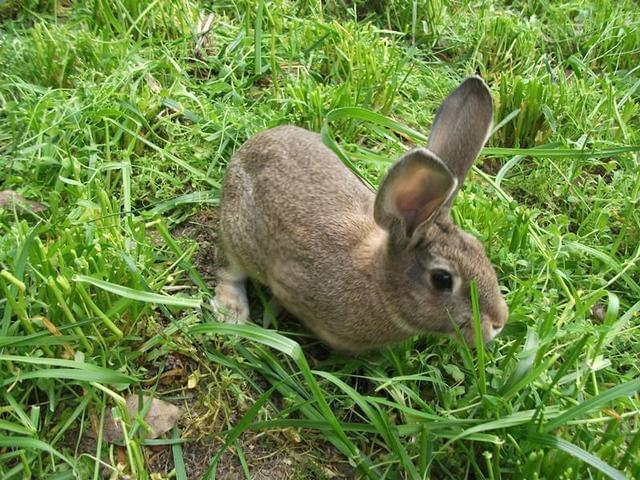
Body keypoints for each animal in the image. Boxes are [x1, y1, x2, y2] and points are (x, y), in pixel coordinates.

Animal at [212, 75, 508, 352]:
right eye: (442, 279)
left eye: (479, 248)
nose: (498, 322)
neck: (378, 282)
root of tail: (249, 146)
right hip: (237, 231)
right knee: (229, 268)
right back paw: (230, 312)